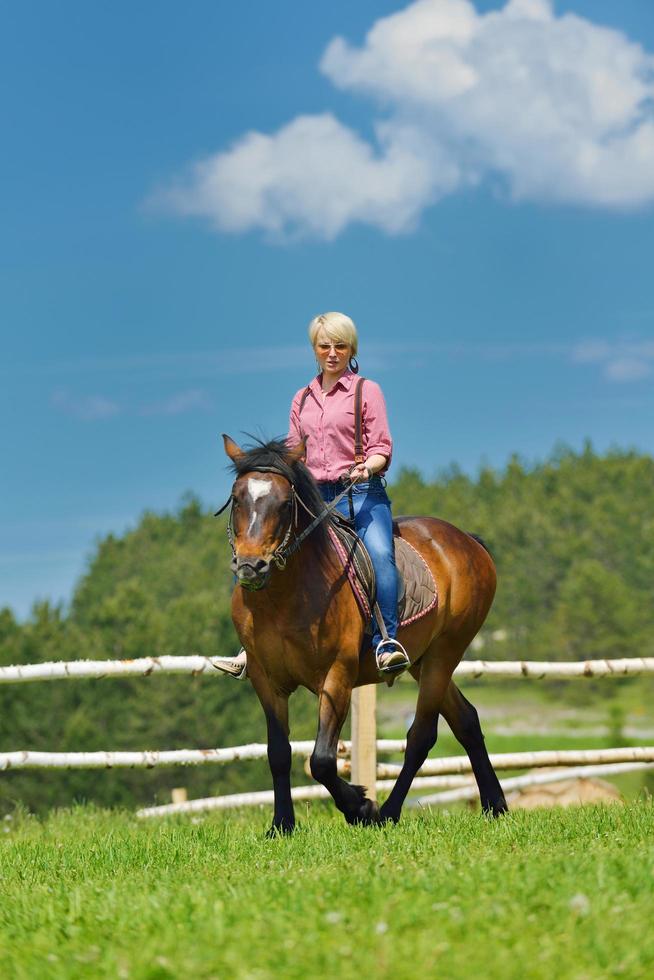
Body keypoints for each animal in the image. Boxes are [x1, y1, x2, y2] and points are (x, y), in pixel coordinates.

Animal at [223, 436, 510, 836]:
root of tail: (467, 540)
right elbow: (278, 753)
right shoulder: (267, 681)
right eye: (237, 499)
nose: (251, 566)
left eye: (284, 504)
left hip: (445, 652)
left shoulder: (337, 676)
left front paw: (360, 807)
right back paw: (495, 805)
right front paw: (281, 825)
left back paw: (388, 811)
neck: (282, 598)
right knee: (466, 720)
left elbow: (321, 760)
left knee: (421, 736)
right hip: (422, 660)